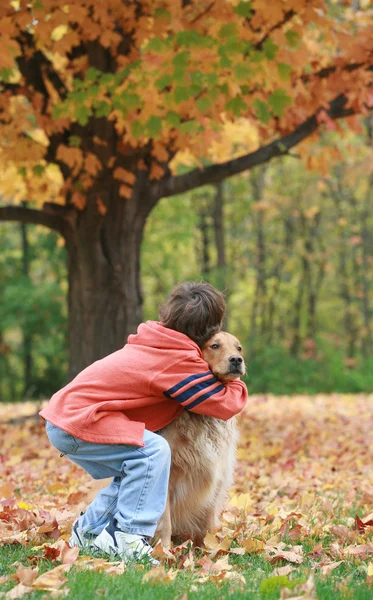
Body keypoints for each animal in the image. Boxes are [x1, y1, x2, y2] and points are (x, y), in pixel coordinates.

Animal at [153, 332, 246, 548]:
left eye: (238, 348)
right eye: (215, 345)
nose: (237, 360)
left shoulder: (218, 474)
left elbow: (209, 521)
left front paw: (210, 548)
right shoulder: (168, 478)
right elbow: (165, 522)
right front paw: (164, 550)